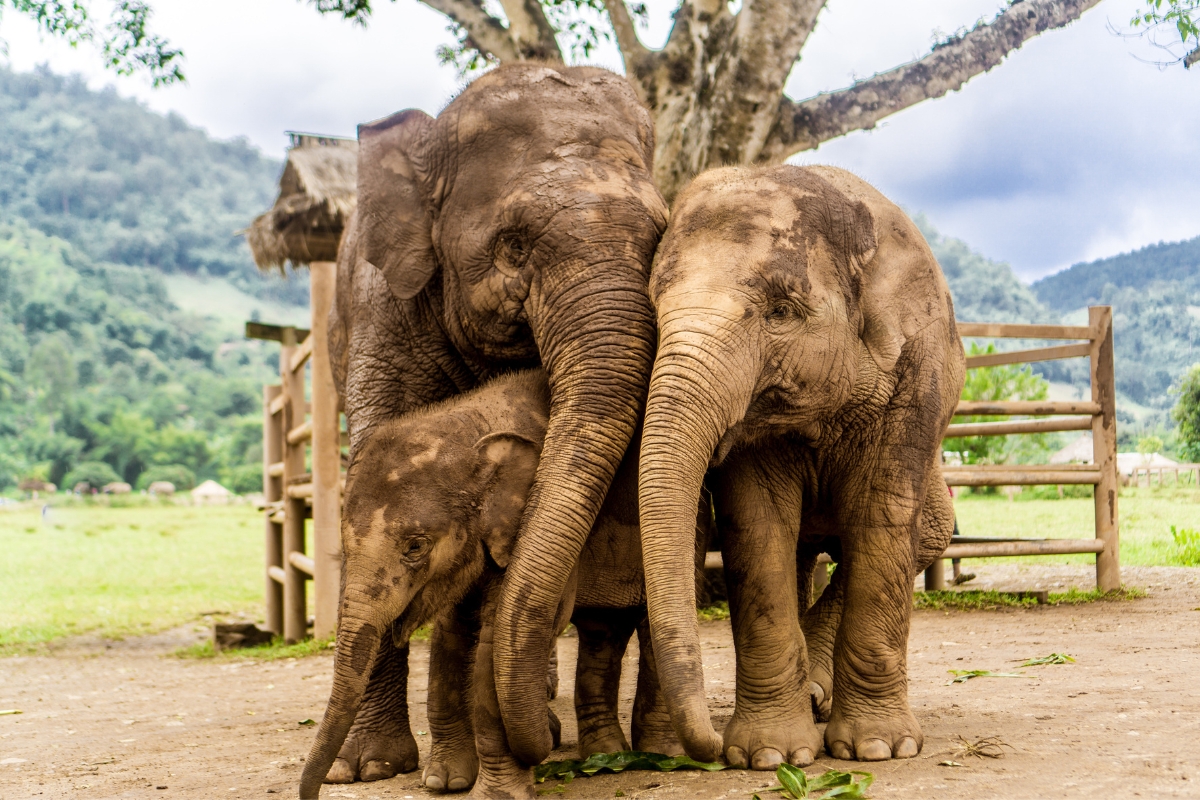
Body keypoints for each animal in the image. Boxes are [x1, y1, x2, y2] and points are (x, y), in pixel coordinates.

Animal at [300, 370, 705, 799]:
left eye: (415, 546)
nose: (318, 790)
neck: (469, 425)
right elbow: (452, 630)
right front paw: (445, 782)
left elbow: (496, 635)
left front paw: (495, 791)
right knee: (602, 629)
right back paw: (603, 751)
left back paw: (659, 752)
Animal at [636, 165, 965, 768]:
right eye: (651, 310)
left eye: (781, 311)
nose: (708, 747)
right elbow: (757, 526)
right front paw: (771, 757)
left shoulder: (917, 375)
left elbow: (881, 518)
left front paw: (879, 749)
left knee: (925, 536)